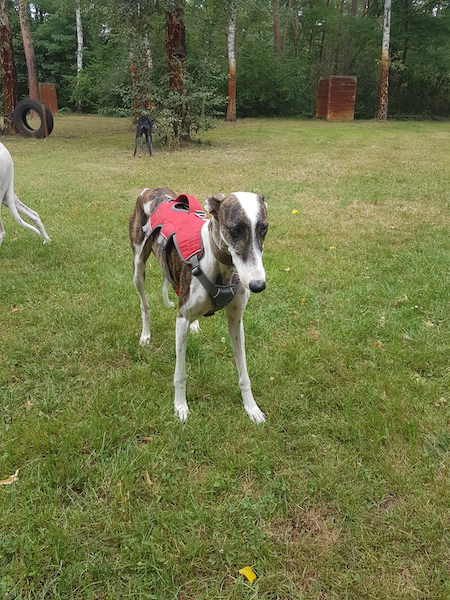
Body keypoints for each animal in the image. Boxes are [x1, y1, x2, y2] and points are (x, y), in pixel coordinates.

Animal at [129, 187, 268, 423]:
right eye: (235, 230)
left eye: (264, 229)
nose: (258, 285)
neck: (220, 262)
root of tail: (149, 190)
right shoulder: (181, 320)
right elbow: (180, 374)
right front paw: (180, 407)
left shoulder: (236, 320)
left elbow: (244, 373)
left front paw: (252, 408)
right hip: (138, 267)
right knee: (144, 305)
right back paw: (146, 335)